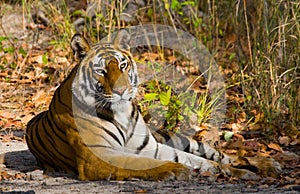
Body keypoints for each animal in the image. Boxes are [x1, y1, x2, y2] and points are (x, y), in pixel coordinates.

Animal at [26, 29, 282, 181]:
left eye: (122, 65)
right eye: (101, 71)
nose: (121, 91)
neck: (121, 113)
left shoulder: (151, 147)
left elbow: (201, 161)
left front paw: (236, 172)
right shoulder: (99, 156)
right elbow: (143, 163)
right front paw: (174, 170)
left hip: (177, 138)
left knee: (220, 155)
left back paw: (267, 164)